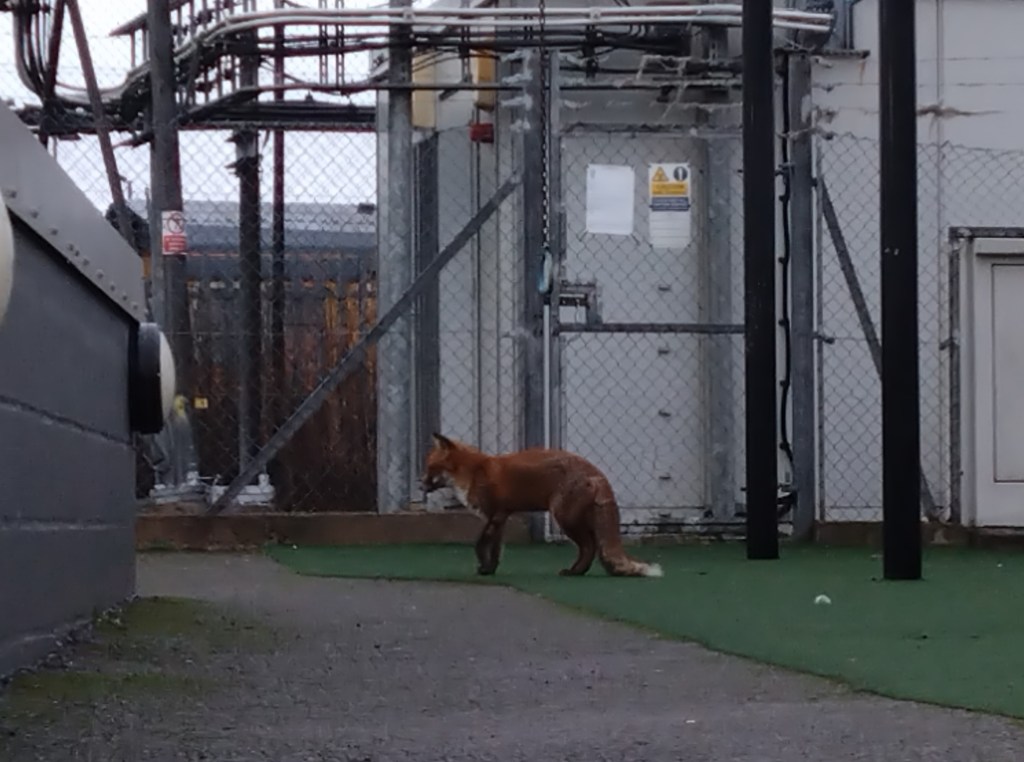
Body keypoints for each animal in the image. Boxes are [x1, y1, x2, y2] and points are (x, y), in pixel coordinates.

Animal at [421, 433, 664, 579]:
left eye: (431, 468)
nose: (420, 484)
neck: (473, 472)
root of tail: (596, 473)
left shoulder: (494, 515)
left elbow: (480, 545)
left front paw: (483, 568)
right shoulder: (501, 517)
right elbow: (496, 550)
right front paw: (490, 569)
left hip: (564, 518)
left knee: (590, 546)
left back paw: (574, 571)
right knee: (593, 547)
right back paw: (578, 571)